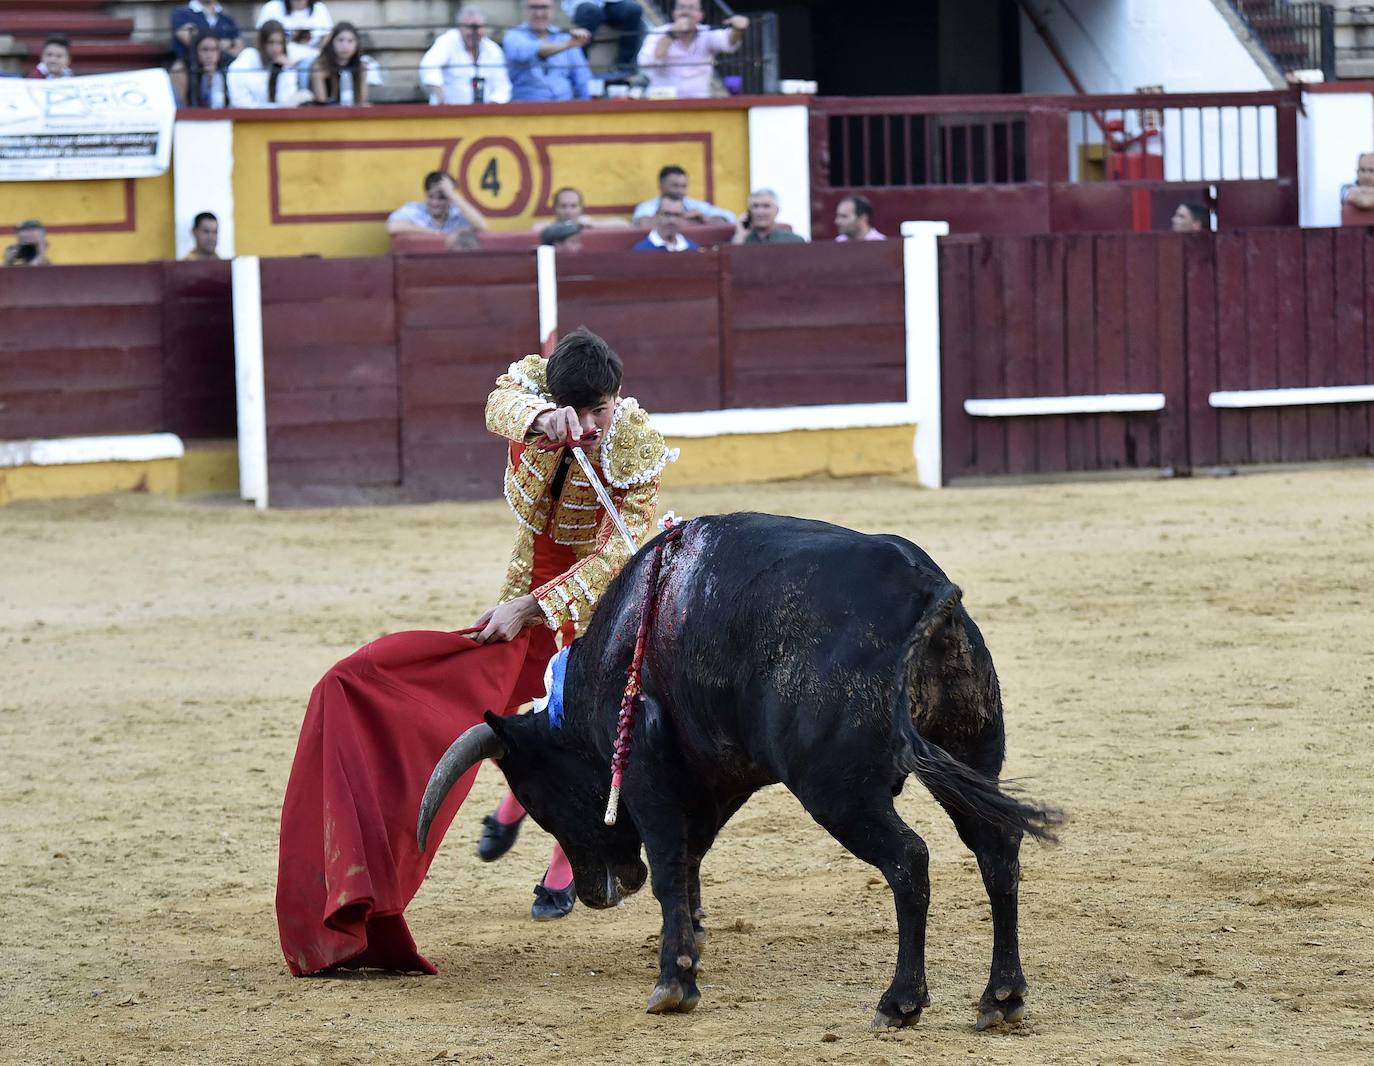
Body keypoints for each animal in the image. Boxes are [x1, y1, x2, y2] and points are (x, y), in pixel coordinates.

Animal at [417, 511, 1060, 1027]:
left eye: (543, 800)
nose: (599, 892)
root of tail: (925, 590)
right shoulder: (723, 772)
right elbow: (691, 855)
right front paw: (691, 944)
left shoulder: (648, 771)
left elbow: (670, 864)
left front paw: (674, 983)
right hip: (971, 755)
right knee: (996, 849)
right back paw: (1001, 997)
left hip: (839, 792)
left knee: (908, 860)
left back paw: (899, 1001)